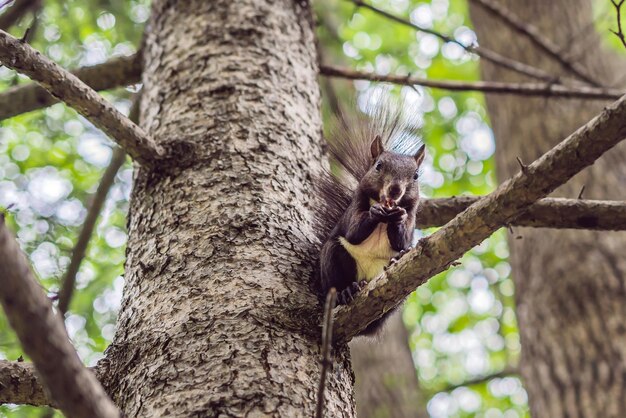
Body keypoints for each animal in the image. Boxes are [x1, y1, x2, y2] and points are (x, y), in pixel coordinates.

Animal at [312, 102, 424, 336]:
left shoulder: (412, 218)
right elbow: (354, 232)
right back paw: (347, 291)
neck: (384, 220)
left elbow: (402, 240)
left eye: (416, 176)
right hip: (333, 258)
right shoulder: (353, 210)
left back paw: (398, 260)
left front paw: (398, 220)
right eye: (378, 166)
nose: (394, 190)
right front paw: (374, 212)